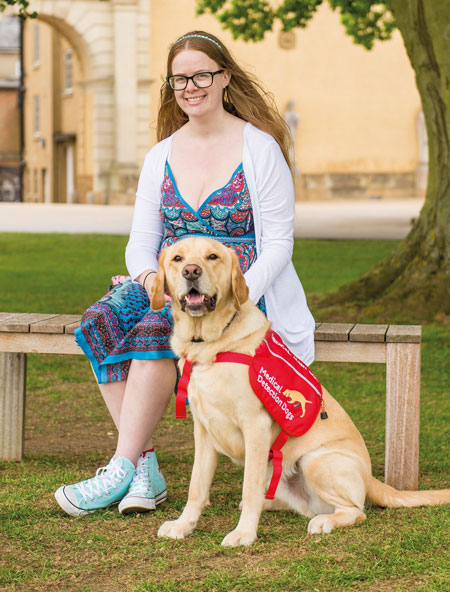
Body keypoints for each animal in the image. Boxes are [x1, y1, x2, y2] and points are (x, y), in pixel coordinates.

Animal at [152, 235, 450, 544]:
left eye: (212, 256)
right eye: (177, 258)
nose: (191, 271)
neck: (208, 344)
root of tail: (371, 478)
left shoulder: (255, 426)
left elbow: (249, 486)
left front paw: (244, 533)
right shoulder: (204, 429)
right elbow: (197, 487)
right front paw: (183, 525)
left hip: (315, 460)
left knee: (355, 510)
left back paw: (324, 521)